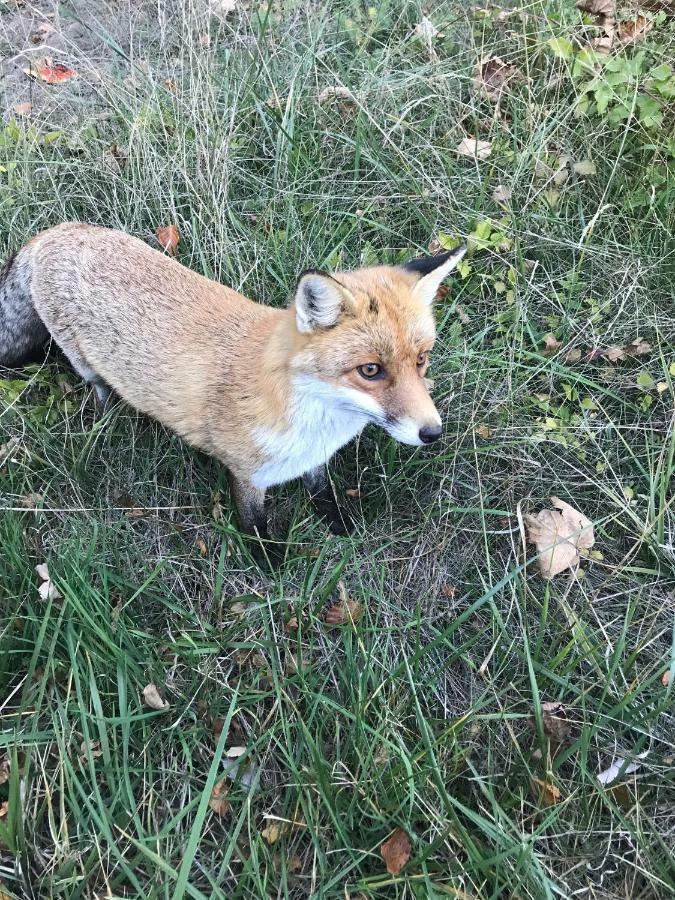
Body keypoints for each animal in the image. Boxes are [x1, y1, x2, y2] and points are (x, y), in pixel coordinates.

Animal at [0, 221, 464, 552]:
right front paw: (272, 568)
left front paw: (340, 527)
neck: (311, 418)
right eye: (370, 370)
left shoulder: (314, 460)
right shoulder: (246, 474)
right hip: (85, 363)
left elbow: (323, 494)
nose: (433, 433)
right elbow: (255, 526)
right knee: (97, 387)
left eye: (420, 360)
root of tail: (58, 231)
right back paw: (106, 413)